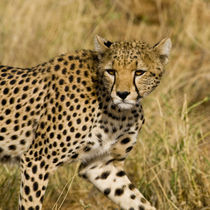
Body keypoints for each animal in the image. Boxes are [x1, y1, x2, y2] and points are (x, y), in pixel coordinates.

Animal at [0, 35, 171, 209]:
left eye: (139, 72)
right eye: (111, 71)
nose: (122, 94)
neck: (116, 111)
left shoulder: (100, 165)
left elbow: (137, 201)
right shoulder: (37, 160)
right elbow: (31, 203)